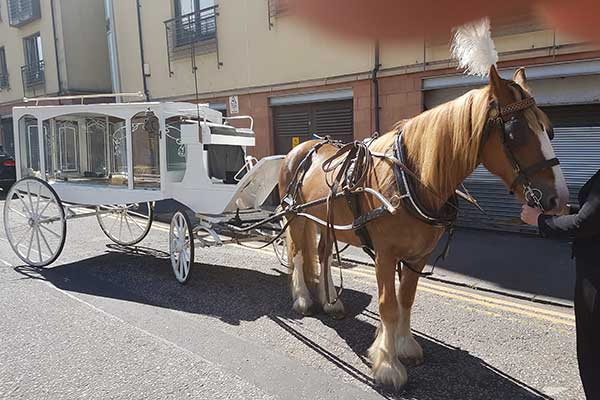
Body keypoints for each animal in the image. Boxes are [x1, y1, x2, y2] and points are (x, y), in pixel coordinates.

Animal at [278, 66, 568, 390]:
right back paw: (303, 298)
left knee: (324, 254)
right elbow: (388, 305)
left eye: (549, 129)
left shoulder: (418, 255)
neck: (408, 180)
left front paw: (404, 346)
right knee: (299, 254)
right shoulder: (385, 255)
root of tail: (302, 147)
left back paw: (331, 302)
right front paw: (388, 365)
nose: (558, 198)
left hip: (325, 220)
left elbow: (405, 299)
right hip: (296, 216)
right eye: (515, 133)